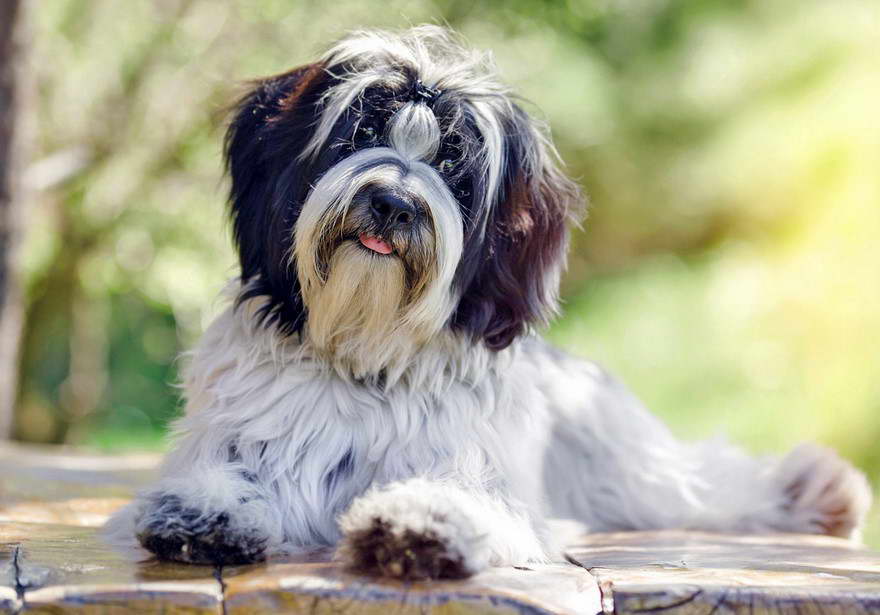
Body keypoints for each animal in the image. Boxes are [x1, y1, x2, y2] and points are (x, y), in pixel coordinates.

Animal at [106, 25, 868, 584]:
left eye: (456, 169)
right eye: (358, 135)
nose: (393, 202)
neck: (365, 358)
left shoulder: (492, 479)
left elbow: (474, 496)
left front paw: (424, 520)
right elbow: (236, 474)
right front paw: (206, 510)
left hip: (630, 463)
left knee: (703, 481)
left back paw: (816, 490)